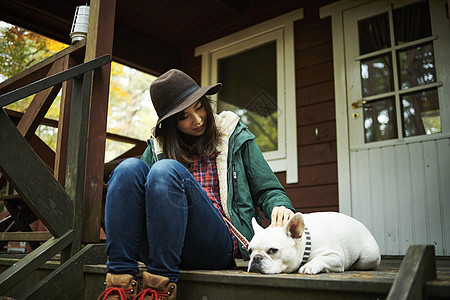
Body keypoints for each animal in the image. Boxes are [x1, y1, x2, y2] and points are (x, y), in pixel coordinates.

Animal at [248, 211, 382, 274]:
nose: (256, 258)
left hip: (367, 258)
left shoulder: (336, 257)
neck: (306, 244)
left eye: (273, 250)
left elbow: (321, 258)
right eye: (249, 251)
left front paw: (310, 266)